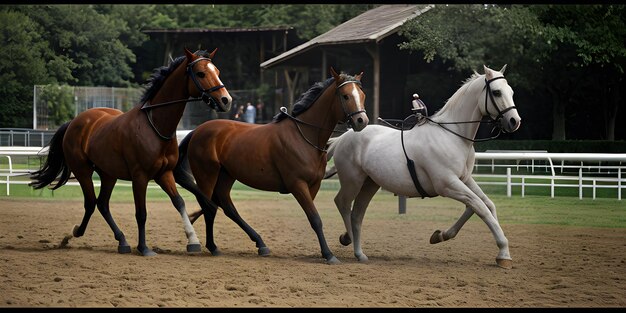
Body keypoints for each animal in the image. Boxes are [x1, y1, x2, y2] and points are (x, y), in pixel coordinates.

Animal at [29, 47, 232, 255]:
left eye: (217, 71)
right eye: (201, 73)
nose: (226, 100)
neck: (155, 126)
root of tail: (75, 121)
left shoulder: (164, 173)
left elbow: (179, 202)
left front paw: (193, 240)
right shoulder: (140, 176)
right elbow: (141, 213)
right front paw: (144, 248)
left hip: (108, 174)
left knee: (102, 204)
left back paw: (122, 241)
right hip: (83, 171)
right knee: (91, 203)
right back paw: (75, 232)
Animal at [171, 67, 368, 264]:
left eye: (362, 94)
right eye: (345, 96)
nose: (362, 120)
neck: (304, 137)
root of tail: (197, 130)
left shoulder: (313, 186)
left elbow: (314, 217)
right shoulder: (297, 184)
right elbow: (315, 218)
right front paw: (328, 254)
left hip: (227, 174)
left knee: (225, 205)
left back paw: (260, 243)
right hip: (207, 175)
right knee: (209, 206)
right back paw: (212, 246)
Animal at [324, 64, 520, 268]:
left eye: (511, 92)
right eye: (497, 92)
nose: (514, 121)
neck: (452, 135)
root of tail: (344, 136)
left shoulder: (464, 180)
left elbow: (484, 205)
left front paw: (441, 235)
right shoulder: (448, 185)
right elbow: (480, 207)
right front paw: (504, 252)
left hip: (370, 183)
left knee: (356, 213)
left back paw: (356, 248)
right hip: (353, 181)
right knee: (343, 203)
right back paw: (351, 243)